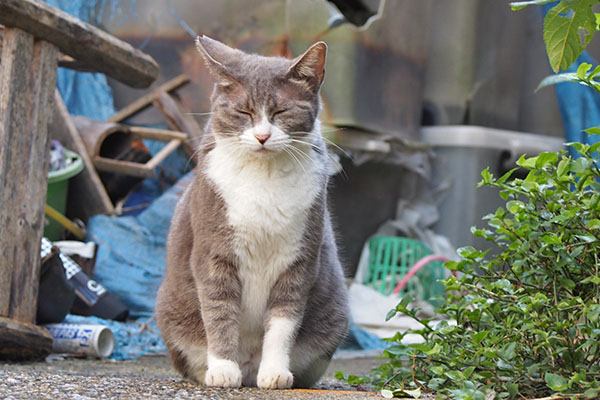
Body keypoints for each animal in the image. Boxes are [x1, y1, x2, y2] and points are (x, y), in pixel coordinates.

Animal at [157, 36, 350, 388]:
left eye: (281, 111)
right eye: (242, 111)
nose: (262, 136)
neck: (264, 176)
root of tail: (249, 366)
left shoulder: (299, 260)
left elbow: (283, 321)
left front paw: (275, 373)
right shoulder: (213, 252)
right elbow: (219, 311)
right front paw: (222, 369)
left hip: (335, 317)